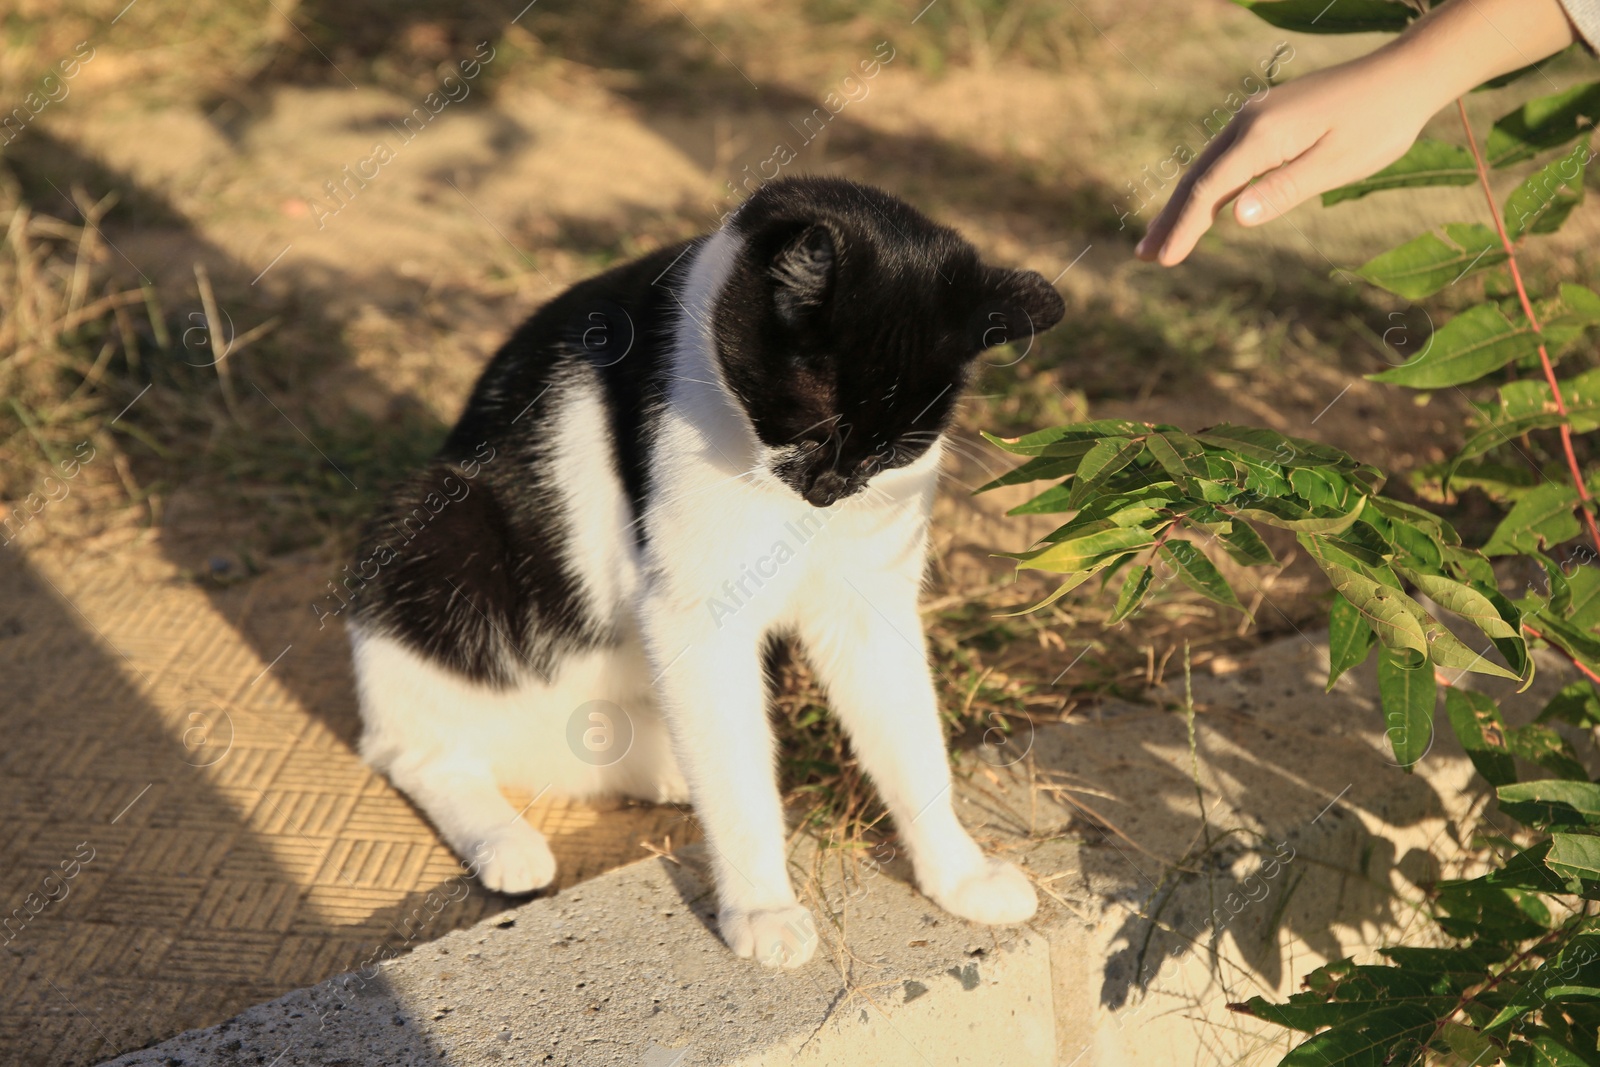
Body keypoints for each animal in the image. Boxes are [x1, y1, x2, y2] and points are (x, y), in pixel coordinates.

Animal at [345, 177, 1068, 966]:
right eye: (812, 423)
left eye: (894, 451)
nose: (830, 488)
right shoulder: (696, 614)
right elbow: (741, 786)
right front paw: (762, 907)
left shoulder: (868, 602)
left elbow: (910, 741)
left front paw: (958, 875)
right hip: (437, 525)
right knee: (410, 746)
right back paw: (505, 839)